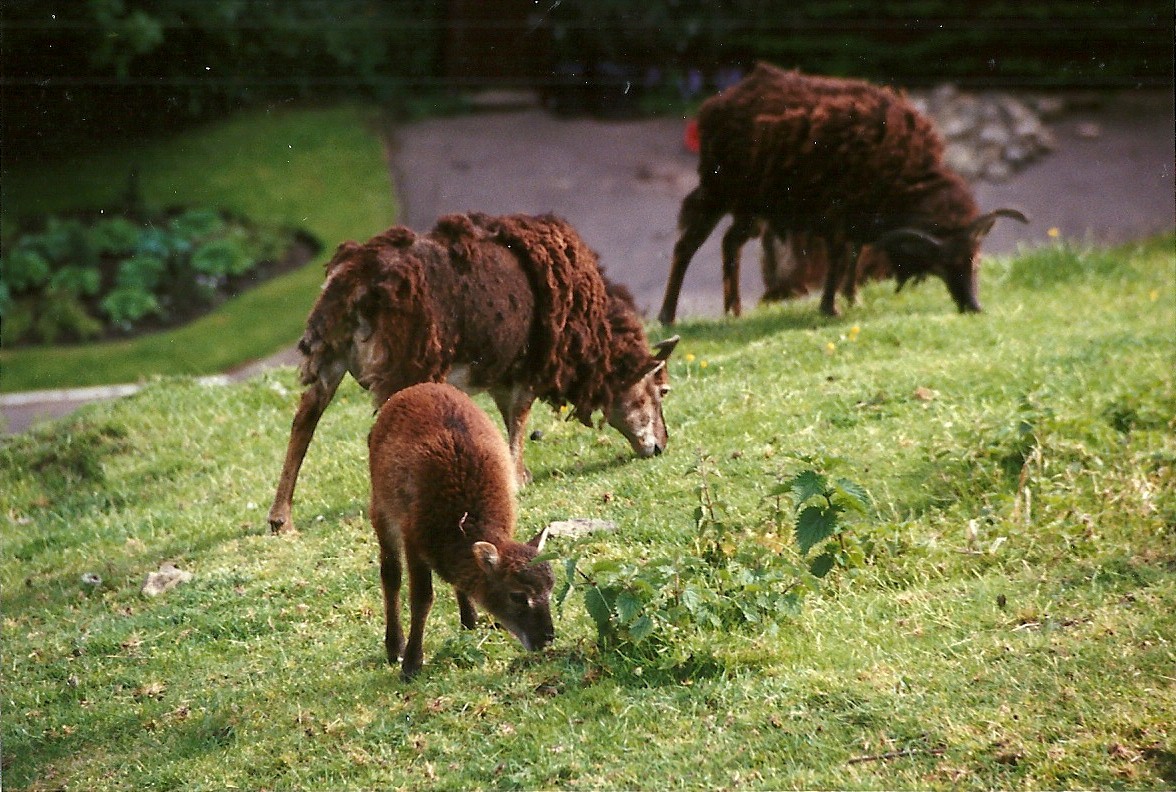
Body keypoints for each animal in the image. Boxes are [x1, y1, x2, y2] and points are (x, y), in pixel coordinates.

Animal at [268, 212, 679, 533]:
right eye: (661, 390)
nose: (660, 447)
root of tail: (354, 281)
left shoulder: (501, 371)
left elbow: (508, 417)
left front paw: (517, 474)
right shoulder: (528, 367)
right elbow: (518, 420)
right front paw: (517, 480)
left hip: (330, 355)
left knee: (305, 418)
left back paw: (280, 519)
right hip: (407, 365)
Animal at [368, 381, 554, 679]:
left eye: (551, 588)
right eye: (517, 595)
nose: (546, 638)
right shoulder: (412, 536)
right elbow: (422, 598)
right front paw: (411, 663)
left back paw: (469, 621)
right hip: (380, 507)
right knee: (390, 575)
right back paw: (393, 646)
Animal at [658, 62, 1027, 323]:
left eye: (976, 260)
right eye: (943, 263)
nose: (973, 307)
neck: (907, 181)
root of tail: (717, 103)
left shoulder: (861, 214)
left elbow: (855, 253)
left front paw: (852, 298)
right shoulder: (838, 211)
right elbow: (838, 258)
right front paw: (830, 308)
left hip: (753, 203)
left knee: (730, 242)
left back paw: (734, 311)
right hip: (717, 189)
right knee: (687, 245)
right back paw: (667, 316)